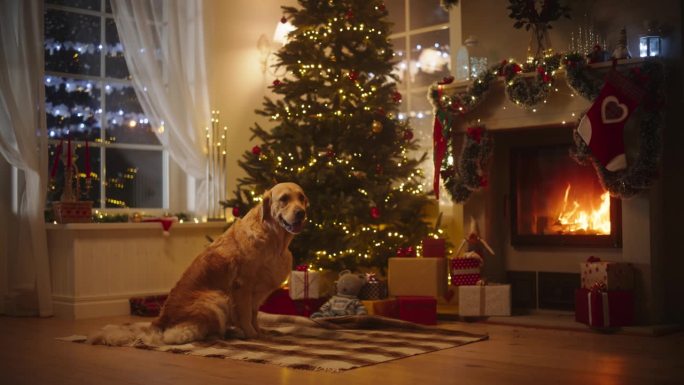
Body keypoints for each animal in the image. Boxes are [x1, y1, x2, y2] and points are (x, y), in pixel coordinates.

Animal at [88, 182, 308, 344]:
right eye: (284, 199)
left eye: (302, 198)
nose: (301, 213)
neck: (274, 239)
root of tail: (158, 321)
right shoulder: (243, 286)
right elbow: (245, 315)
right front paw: (252, 335)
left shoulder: (258, 292)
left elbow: (253, 315)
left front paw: (260, 332)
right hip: (216, 298)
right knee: (179, 335)